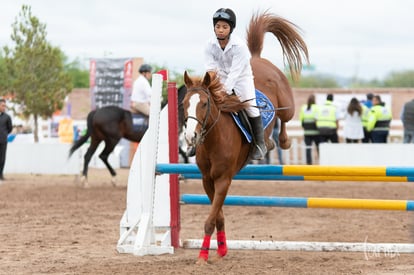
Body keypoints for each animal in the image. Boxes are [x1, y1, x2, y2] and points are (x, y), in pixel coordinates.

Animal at [181, 11, 308, 264]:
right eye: (183, 104)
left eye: (204, 103)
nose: (191, 136)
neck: (214, 140)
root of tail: (257, 58)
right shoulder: (207, 179)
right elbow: (217, 215)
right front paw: (221, 250)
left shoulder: (223, 180)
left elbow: (210, 219)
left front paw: (202, 256)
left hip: (286, 105)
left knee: (285, 119)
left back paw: (280, 141)